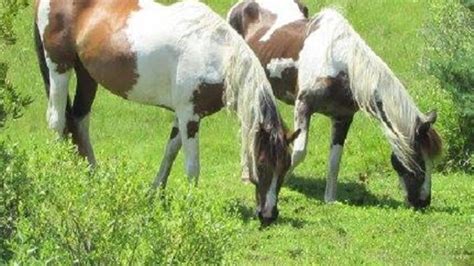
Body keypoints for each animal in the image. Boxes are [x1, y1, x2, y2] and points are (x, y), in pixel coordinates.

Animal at [35, 0, 298, 227]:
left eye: (286, 165)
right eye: (262, 164)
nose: (269, 215)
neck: (215, 53)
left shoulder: (184, 115)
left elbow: (171, 151)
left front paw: (155, 190)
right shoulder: (189, 117)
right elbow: (192, 166)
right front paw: (191, 206)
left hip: (87, 74)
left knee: (80, 121)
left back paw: (93, 175)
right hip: (59, 66)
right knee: (57, 120)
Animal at [228, 0, 442, 208]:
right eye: (419, 163)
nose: (424, 202)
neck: (341, 68)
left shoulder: (342, 118)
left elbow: (334, 160)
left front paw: (330, 199)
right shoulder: (303, 106)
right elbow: (299, 152)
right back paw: (246, 173)